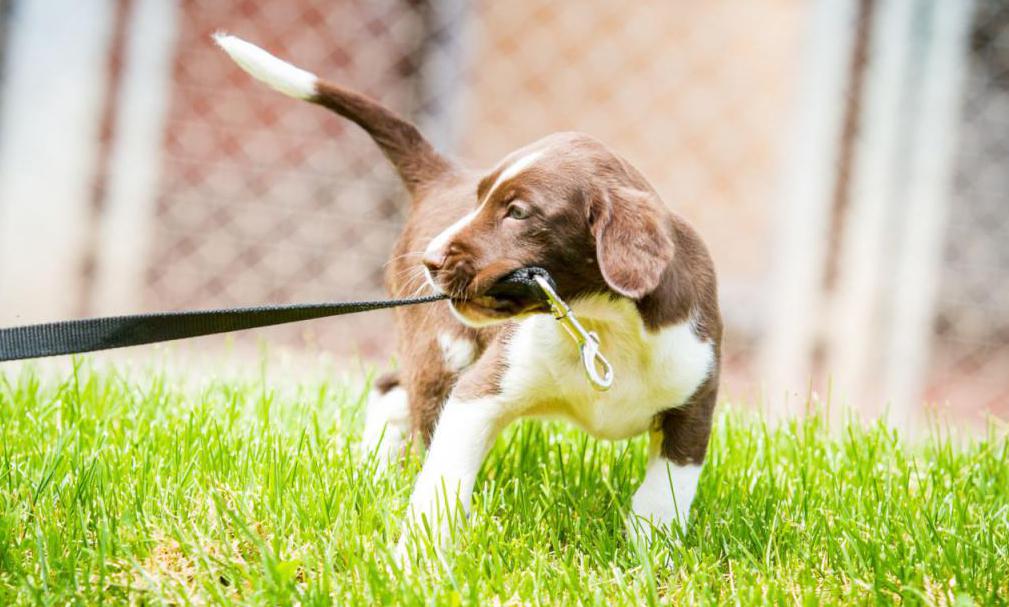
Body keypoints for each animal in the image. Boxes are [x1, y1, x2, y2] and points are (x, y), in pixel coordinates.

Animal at [212, 34, 722, 548]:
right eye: (479, 201)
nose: (430, 261)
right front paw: (418, 554)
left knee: (392, 389)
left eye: (517, 212)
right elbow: (442, 479)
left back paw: (373, 471)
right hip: (442, 348)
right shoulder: (480, 392)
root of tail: (441, 177)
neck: (602, 325)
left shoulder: (694, 407)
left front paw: (648, 555)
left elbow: (663, 497)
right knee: (401, 394)